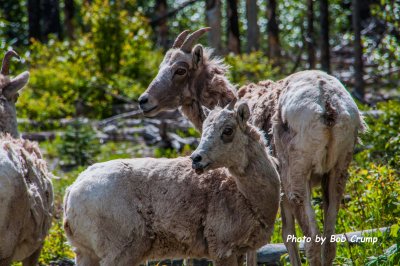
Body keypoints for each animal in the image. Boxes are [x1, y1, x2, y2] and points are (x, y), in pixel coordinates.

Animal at [63, 99, 282, 266]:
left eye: (228, 130)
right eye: (204, 129)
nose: (196, 159)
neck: (250, 197)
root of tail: (72, 191)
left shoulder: (240, 251)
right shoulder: (222, 249)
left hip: (86, 254)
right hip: (118, 253)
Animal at [138, 28, 366, 264]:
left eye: (180, 70)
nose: (144, 101)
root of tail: (327, 102)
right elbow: (288, 236)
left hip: (297, 178)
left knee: (312, 240)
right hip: (338, 173)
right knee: (329, 241)